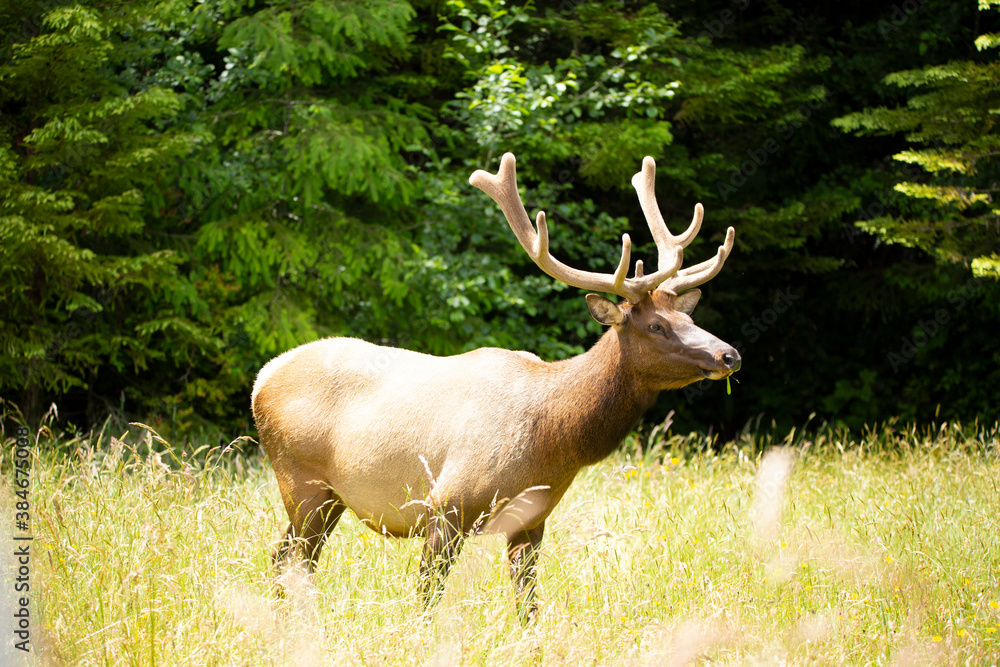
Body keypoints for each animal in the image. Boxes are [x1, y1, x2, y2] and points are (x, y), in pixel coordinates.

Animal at [251, 153, 740, 621]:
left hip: (329, 496)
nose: (729, 355)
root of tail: (262, 378)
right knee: (292, 557)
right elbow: (427, 596)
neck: (554, 440)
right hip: (300, 479)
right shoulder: (445, 505)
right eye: (656, 326)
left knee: (288, 556)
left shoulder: (531, 520)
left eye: (688, 316)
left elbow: (528, 604)